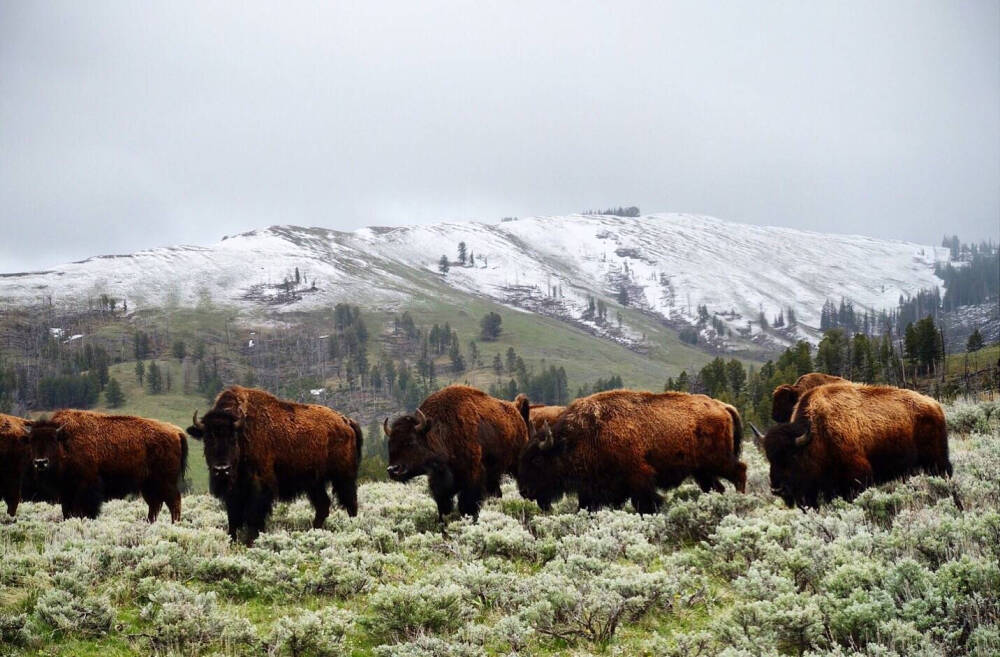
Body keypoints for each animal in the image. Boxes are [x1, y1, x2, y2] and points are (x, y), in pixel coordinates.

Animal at [28, 410, 188, 524]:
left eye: (52, 441)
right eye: (33, 441)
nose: (40, 462)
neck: (66, 441)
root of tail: (176, 431)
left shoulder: (86, 487)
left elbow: (84, 510)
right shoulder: (67, 491)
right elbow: (67, 511)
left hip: (166, 482)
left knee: (174, 501)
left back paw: (174, 524)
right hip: (148, 485)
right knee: (155, 504)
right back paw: (149, 522)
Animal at [188, 384, 364, 544]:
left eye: (233, 439)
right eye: (207, 439)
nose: (221, 469)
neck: (244, 431)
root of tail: (346, 421)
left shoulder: (259, 486)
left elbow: (253, 516)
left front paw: (252, 540)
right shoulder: (234, 491)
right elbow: (233, 517)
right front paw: (232, 540)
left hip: (343, 477)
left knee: (350, 503)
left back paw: (352, 528)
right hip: (315, 483)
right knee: (323, 506)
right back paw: (314, 531)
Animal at [384, 384, 532, 516]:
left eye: (411, 442)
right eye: (390, 444)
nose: (393, 469)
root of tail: (516, 409)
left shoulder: (472, 478)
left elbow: (467, 506)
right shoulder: (440, 484)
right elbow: (444, 507)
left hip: (516, 464)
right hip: (494, 473)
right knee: (497, 492)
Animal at [520, 390, 748, 512]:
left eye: (538, 460)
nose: (524, 492)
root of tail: (723, 406)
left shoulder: (639, 477)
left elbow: (646, 503)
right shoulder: (595, 489)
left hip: (718, 461)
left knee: (740, 471)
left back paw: (741, 503)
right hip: (702, 471)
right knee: (717, 486)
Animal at [752, 380, 952, 508]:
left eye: (792, 455)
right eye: (769, 458)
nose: (777, 488)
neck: (816, 434)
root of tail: (934, 405)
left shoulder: (857, 478)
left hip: (936, 460)